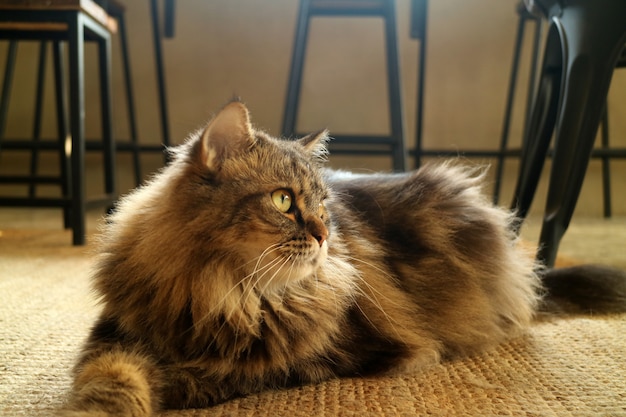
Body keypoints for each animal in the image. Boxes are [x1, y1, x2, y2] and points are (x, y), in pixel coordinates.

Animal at [59, 99, 624, 414]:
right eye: (283, 201)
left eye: (322, 204)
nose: (325, 235)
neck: (221, 294)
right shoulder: (114, 336)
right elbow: (110, 381)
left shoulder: (324, 357)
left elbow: (218, 376)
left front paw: (171, 384)